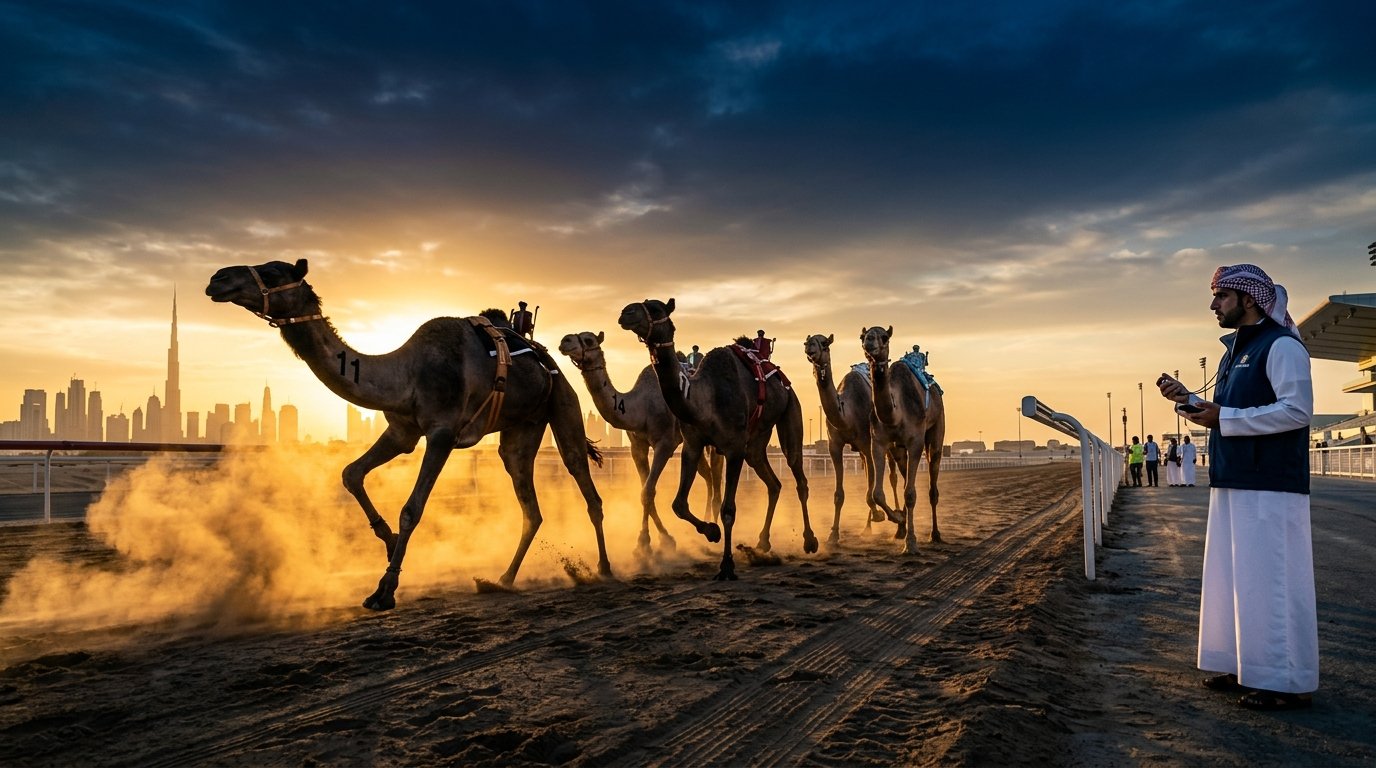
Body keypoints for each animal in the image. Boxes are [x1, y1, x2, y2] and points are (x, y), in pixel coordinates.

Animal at [205, 258, 611, 610]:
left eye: (273, 272)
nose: (217, 279)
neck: (407, 373)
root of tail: (545, 357)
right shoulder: (402, 432)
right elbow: (351, 474)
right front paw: (387, 542)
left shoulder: (442, 433)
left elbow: (412, 508)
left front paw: (385, 589)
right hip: (521, 428)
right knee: (530, 505)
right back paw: (502, 579)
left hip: (563, 404)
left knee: (584, 482)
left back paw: (604, 570)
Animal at [557, 330, 723, 553]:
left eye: (589, 339)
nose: (564, 341)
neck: (640, 408)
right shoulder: (637, 447)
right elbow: (644, 491)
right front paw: (653, 540)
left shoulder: (665, 444)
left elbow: (648, 491)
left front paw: (650, 542)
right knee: (707, 475)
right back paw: (705, 523)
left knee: (716, 472)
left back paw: (713, 523)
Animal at [618, 298, 818, 581]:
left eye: (655, 309)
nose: (626, 312)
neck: (704, 399)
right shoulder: (692, 445)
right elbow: (679, 504)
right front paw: (711, 532)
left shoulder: (734, 449)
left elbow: (728, 510)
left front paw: (726, 565)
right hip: (756, 443)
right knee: (774, 483)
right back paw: (762, 542)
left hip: (791, 411)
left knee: (798, 476)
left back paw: (810, 540)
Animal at [803, 333, 901, 543]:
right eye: (808, 341)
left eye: (825, 343)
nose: (809, 347)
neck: (847, 413)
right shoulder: (835, 446)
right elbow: (839, 494)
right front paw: (833, 534)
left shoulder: (867, 444)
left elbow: (871, 488)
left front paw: (880, 515)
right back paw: (868, 527)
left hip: (888, 444)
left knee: (893, 476)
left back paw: (897, 523)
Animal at [861, 326, 946, 554]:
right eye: (863, 336)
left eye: (884, 337)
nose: (869, 342)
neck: (895, 413)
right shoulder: (878, 443)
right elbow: (877, 493)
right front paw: (897, 519)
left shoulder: (915, 442)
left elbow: (910, 494)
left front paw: (911, 543)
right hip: (899, 450)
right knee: (904, 476)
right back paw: (902, 527)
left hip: (936, 431)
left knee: (932, 486)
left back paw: (935, 534)